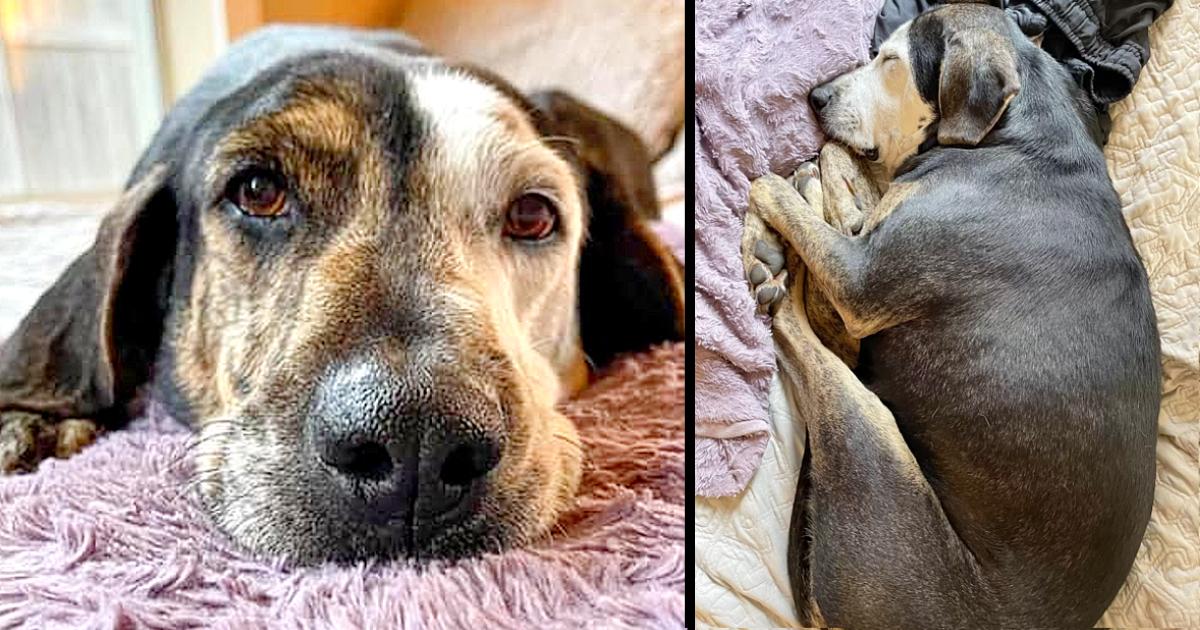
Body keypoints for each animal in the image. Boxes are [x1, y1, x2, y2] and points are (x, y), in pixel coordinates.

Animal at [744, 2, 1156, 624]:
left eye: (890, 61)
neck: (1014, 136)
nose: (815, 96)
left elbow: (790, 196)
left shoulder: (862, 282)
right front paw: (826, 185)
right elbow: (845, 186)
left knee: (800, 329)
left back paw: (778, 264)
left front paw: (779, 199)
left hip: (874, 439)